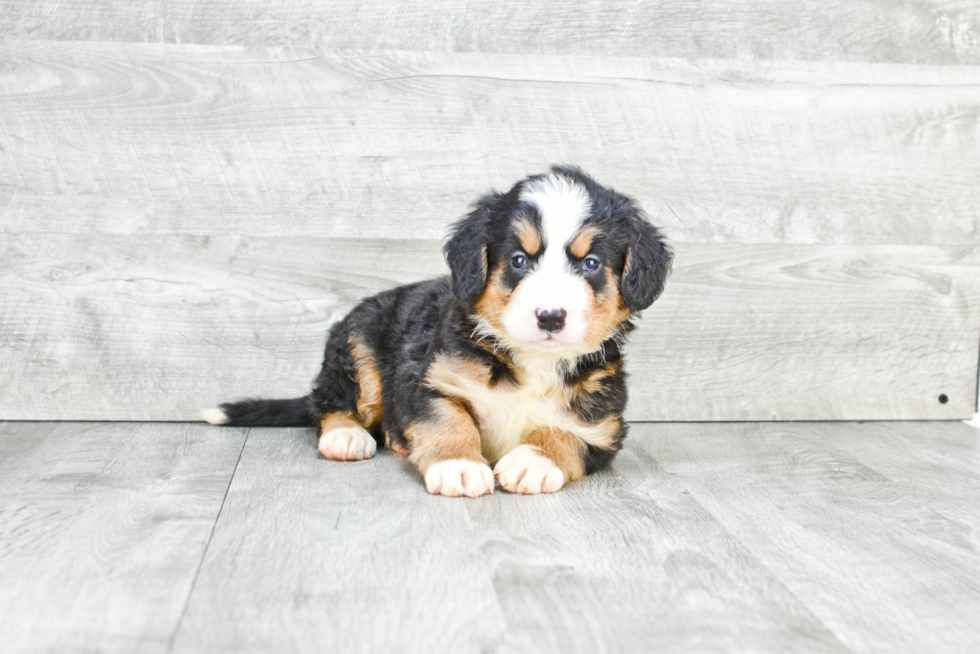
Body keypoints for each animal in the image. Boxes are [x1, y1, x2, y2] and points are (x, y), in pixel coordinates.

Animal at [203, 167, 668, 500]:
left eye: (590, 264)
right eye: (519, 260)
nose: (551, 316)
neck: (532, 361)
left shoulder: (603, 422)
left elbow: (567, 433)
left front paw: (533, 461)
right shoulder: (431, 381)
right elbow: (449, 420)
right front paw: (458, 466)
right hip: (358, 345)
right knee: (329, 402)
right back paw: (347, 435)